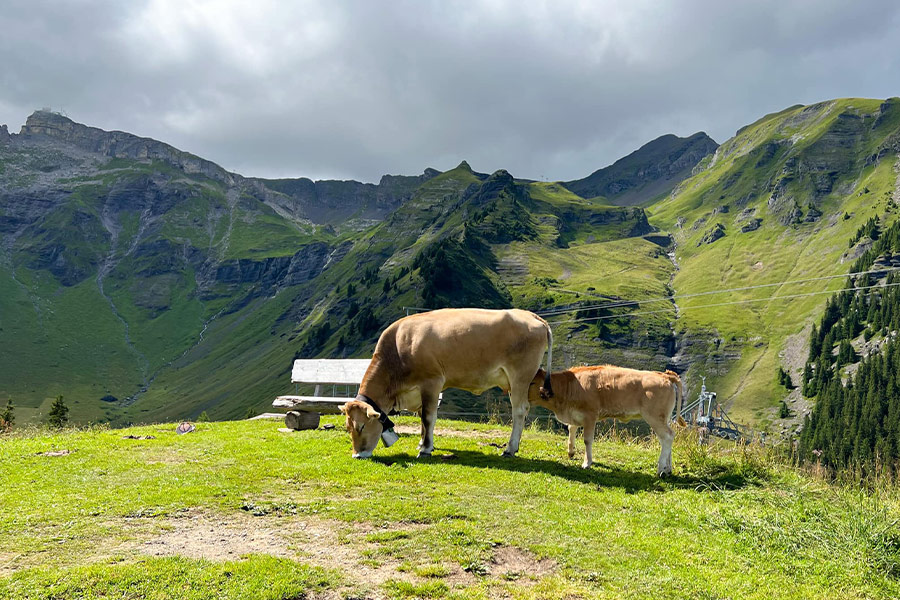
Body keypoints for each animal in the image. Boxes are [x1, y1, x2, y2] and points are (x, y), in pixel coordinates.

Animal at [340, 308, 553, 459]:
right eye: (348, 428)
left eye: (361, 426)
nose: (357, 455)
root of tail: (531, 316)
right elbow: (422, 419)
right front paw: (422, 443)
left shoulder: (432, 382)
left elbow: (428, 417)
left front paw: (425, 449)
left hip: (520, 376)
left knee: (519, 410)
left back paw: (510, 448)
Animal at [527, 366, 683, 476]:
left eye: (532, 382)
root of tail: (665, 375)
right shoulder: (574, 413)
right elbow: (571, 429)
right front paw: (571, 452)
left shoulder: (590, 416)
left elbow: (587, 440)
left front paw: (587, 463)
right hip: (664, 418)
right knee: (666, 439)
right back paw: (668, 469)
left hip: (654, 416)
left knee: (667, 437)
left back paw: (661, 469)